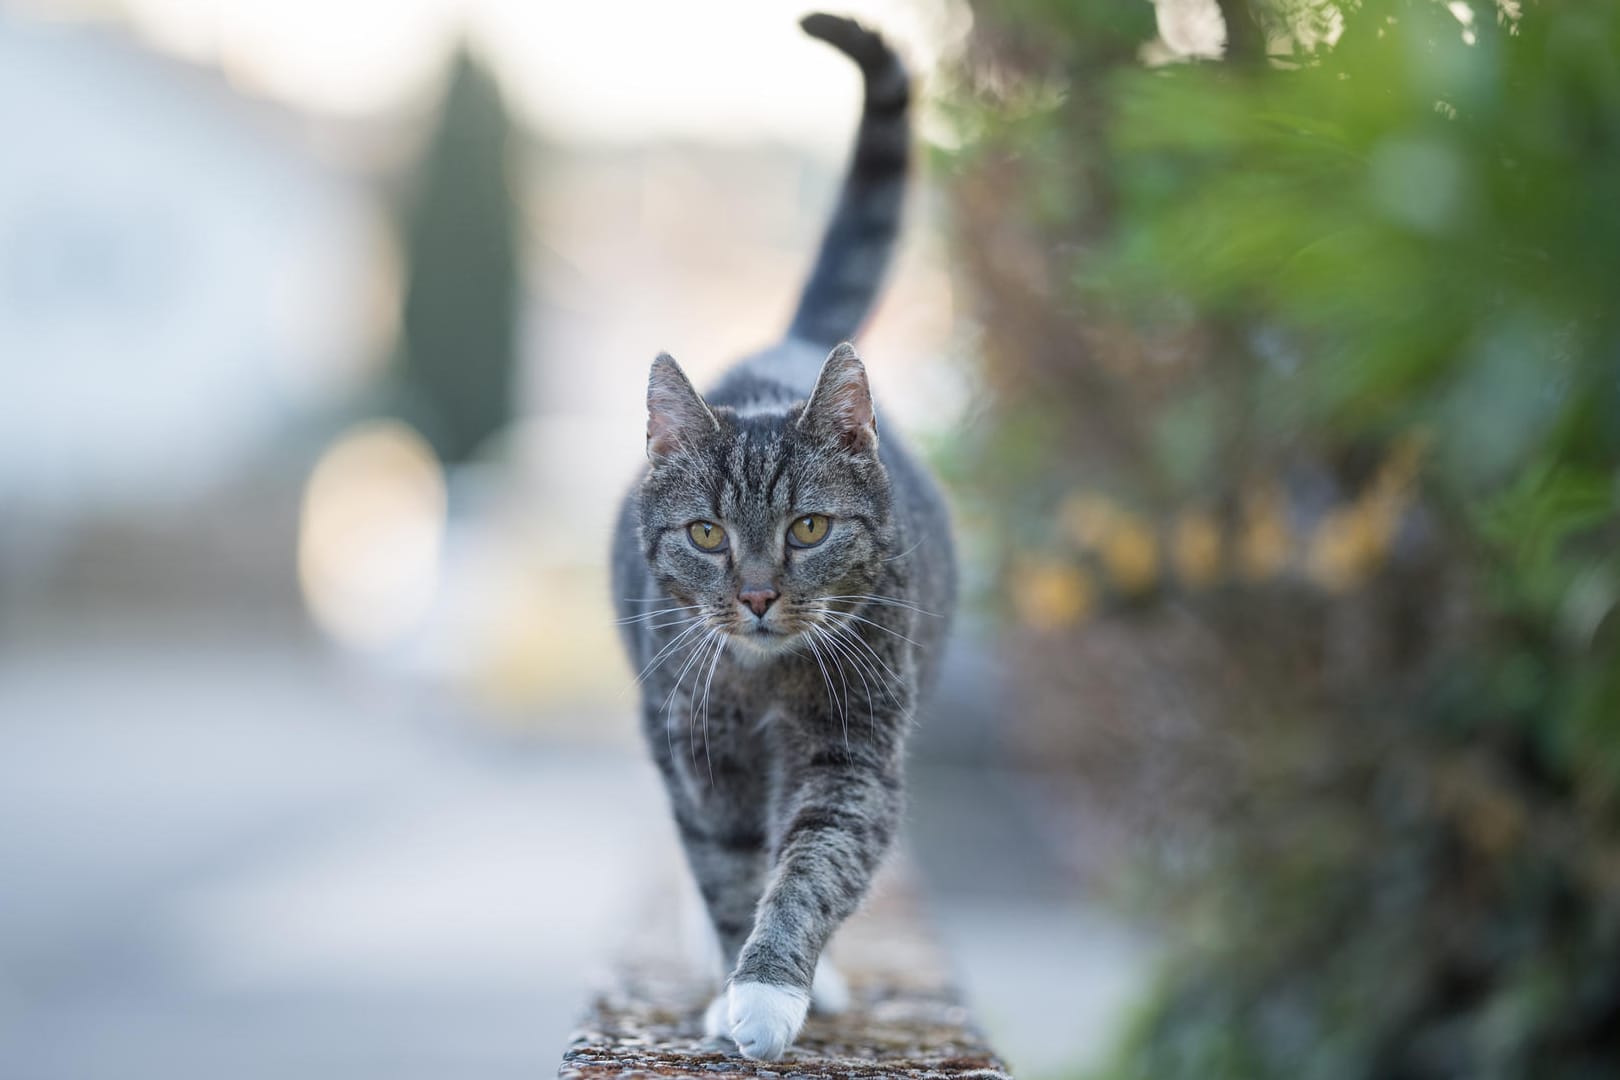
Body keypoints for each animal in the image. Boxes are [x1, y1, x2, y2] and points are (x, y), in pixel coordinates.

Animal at [612, 12, 952, 1062]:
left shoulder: (856, 748)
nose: (758, 596)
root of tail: (786, 347)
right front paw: (734, 991)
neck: (766, 683)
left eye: (807, 527)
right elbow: (727, 870)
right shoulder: (697, 746)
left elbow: (812, 866)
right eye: (707, 533)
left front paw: (770, 991)